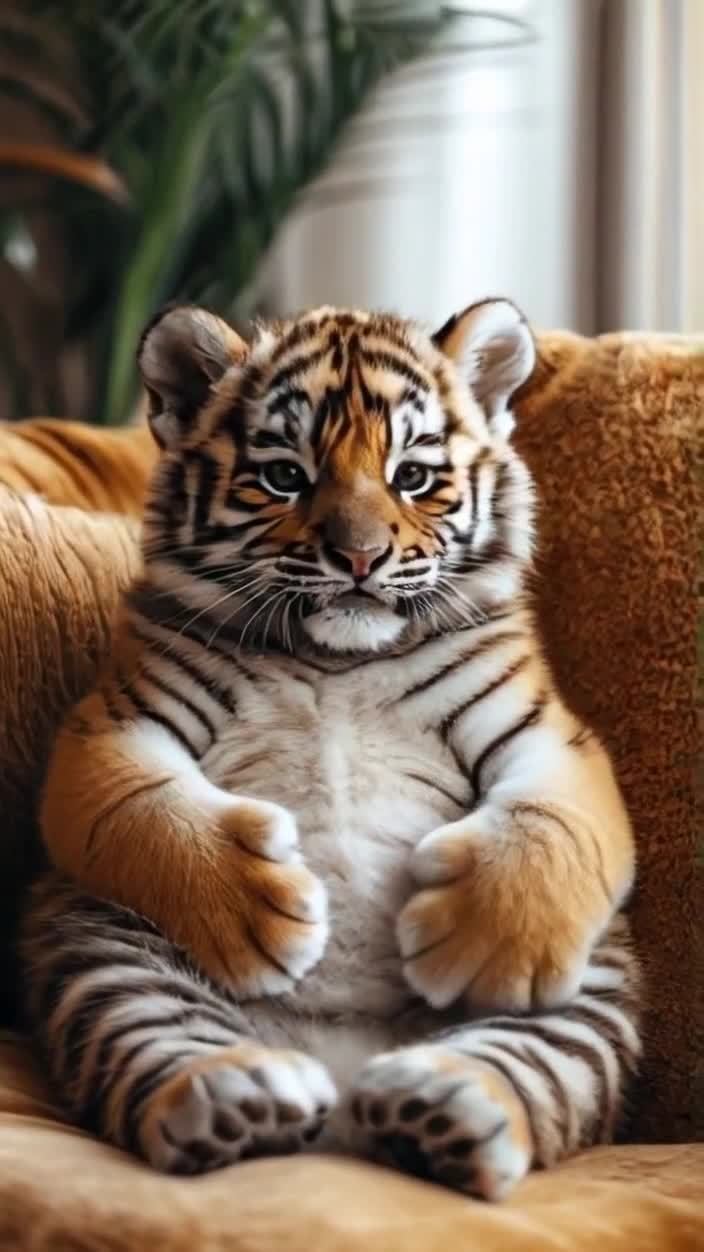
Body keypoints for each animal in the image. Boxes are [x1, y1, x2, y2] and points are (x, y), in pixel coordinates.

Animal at [20, 297, 642, 1202]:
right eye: (286, 476)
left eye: (412, 477)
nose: (359, 557)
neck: (339, 659)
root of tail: (344, 1099)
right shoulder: (115, 724)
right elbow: (148, 809)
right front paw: (262, 918)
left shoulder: (548, 734)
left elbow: (549, 820)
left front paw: (494, 946)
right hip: (105, 937)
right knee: (157, 1033)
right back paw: (238, 1096)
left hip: (594, 974)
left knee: (532, 1063)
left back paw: (442, 1104)